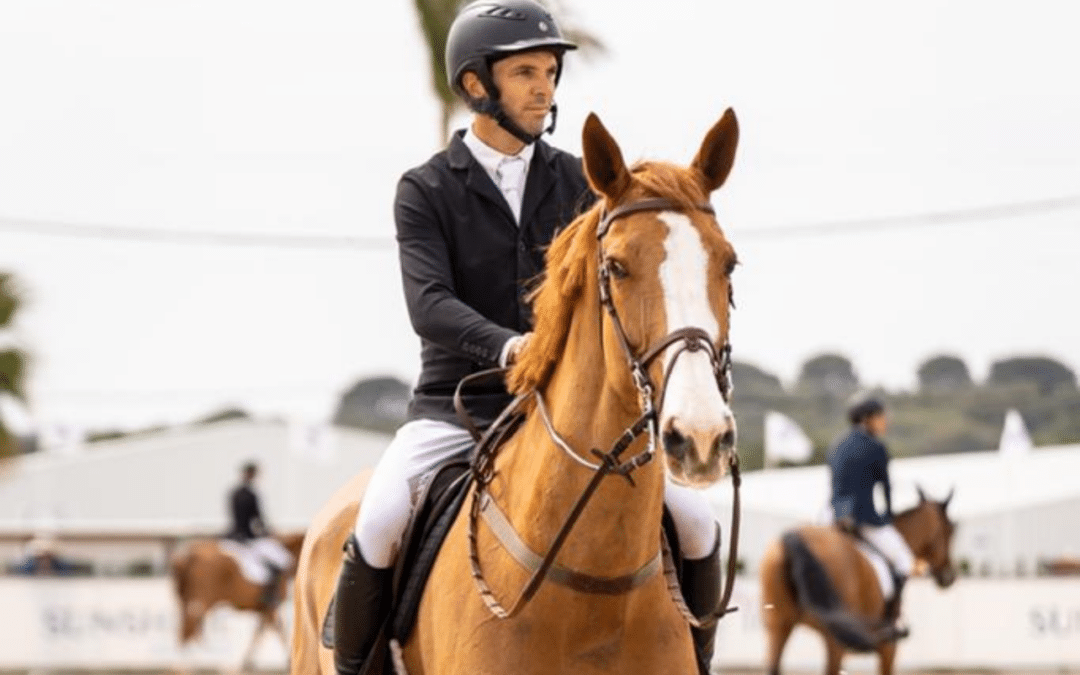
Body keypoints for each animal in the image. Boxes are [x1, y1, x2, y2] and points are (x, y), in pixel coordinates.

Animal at [169, 531, 304, 669]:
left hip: (185, 600)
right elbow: (277, 629)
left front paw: (248, 661)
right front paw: (290, 659)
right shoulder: (270, 607)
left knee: (186, 630)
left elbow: (262, 630)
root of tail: (190, 554)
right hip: (200, 600)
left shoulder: (264, 609)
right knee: (187, 631)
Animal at [756, 490, 959, 673]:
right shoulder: (888, 647)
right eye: (950, 530)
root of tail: (792, 538)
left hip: (778, 627)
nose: (949, 576)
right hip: (835, 638)